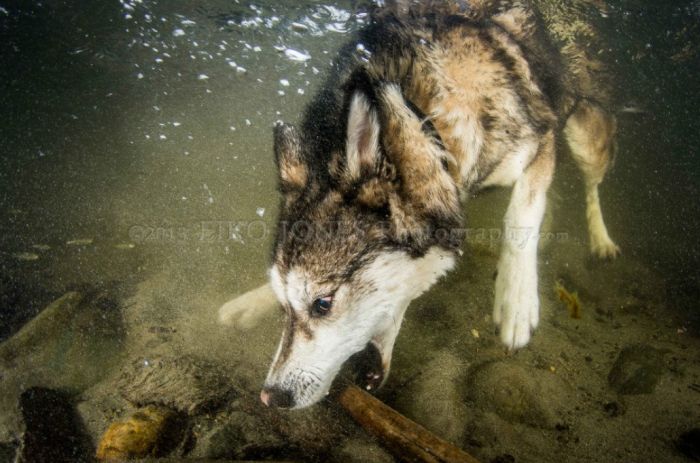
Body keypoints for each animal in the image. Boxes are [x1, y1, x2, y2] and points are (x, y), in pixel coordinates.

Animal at [245, 0, 616, 410]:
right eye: (284, 307)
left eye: (322, 304)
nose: (270, 396)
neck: (427, 118)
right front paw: (246, 302)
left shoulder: (542, 138)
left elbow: (521, 214)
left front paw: (516, 300)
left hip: (584, 130)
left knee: (593, 182)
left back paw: (601, 239)